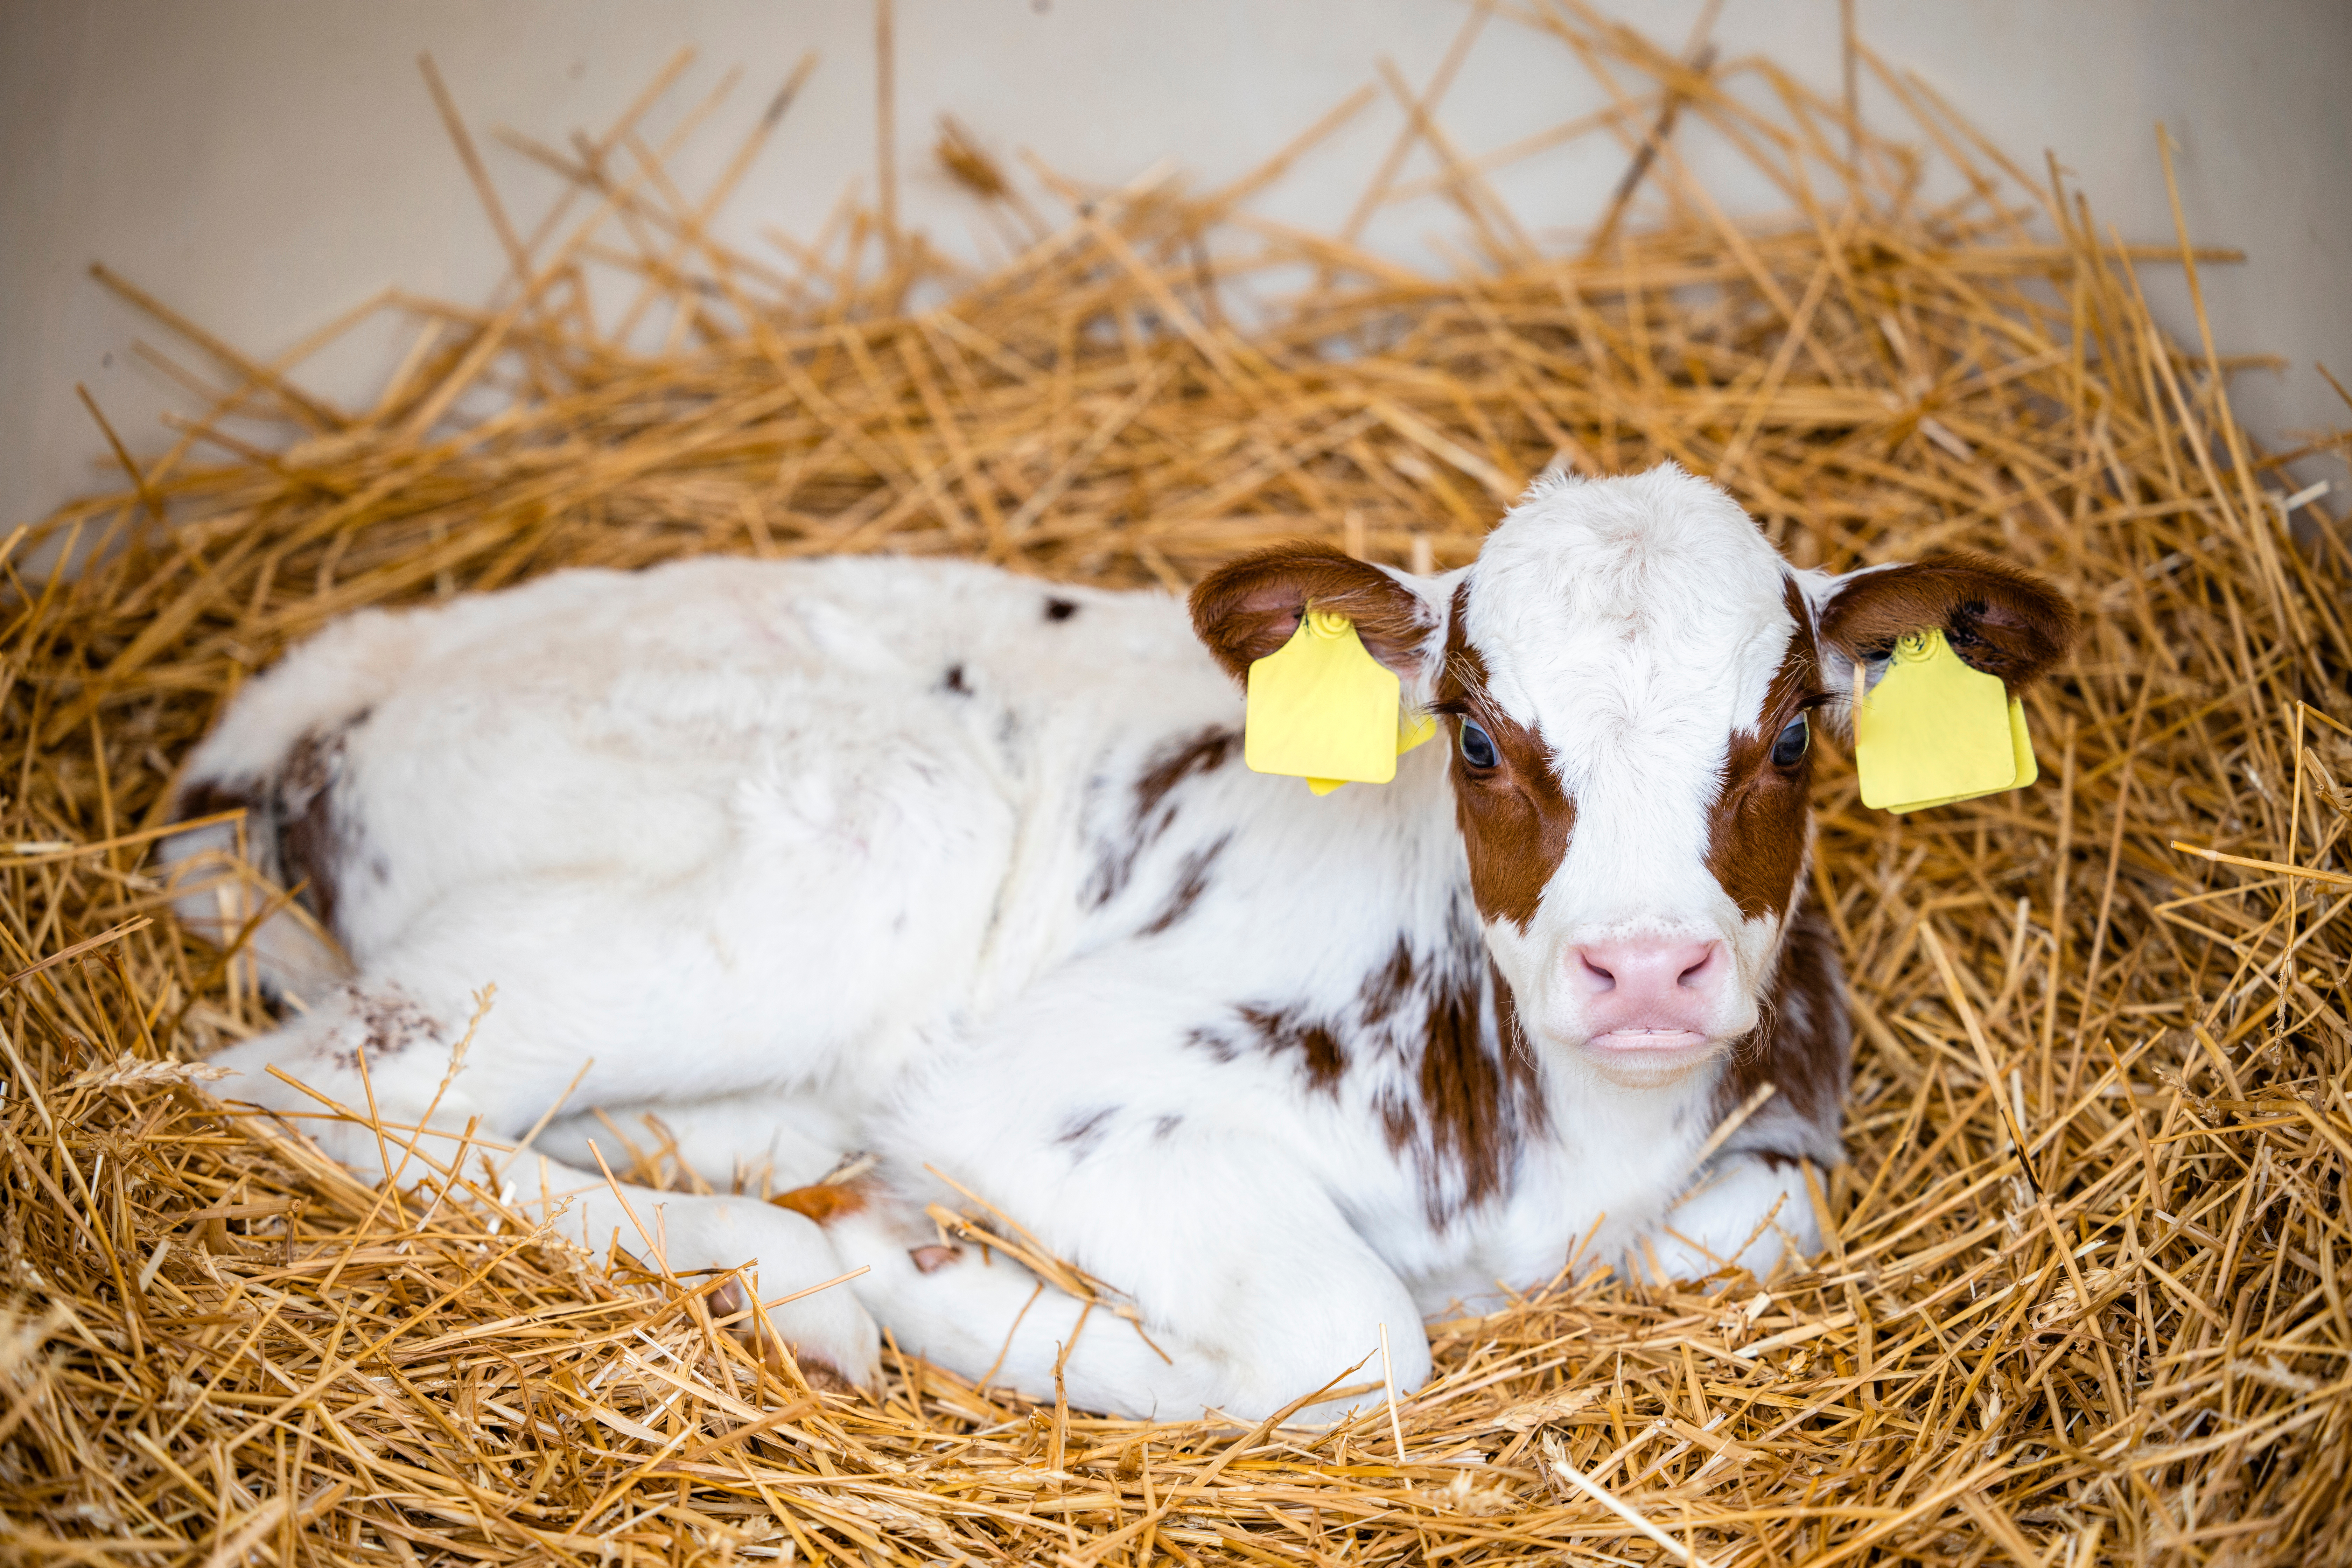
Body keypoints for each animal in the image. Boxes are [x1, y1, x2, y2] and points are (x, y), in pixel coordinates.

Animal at [159, 462, 2075, 1422]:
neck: (1552, 1152)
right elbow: (1346, 1343)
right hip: (870, 829)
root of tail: (371, 657)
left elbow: (1758, 1224)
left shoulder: (1774, 1137)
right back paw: (774, 1267)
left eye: (1795, 730)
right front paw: (919, 1265)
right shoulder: (1037, 1078)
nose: (1648, 969)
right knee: (299, 1082)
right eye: (1471, 734)